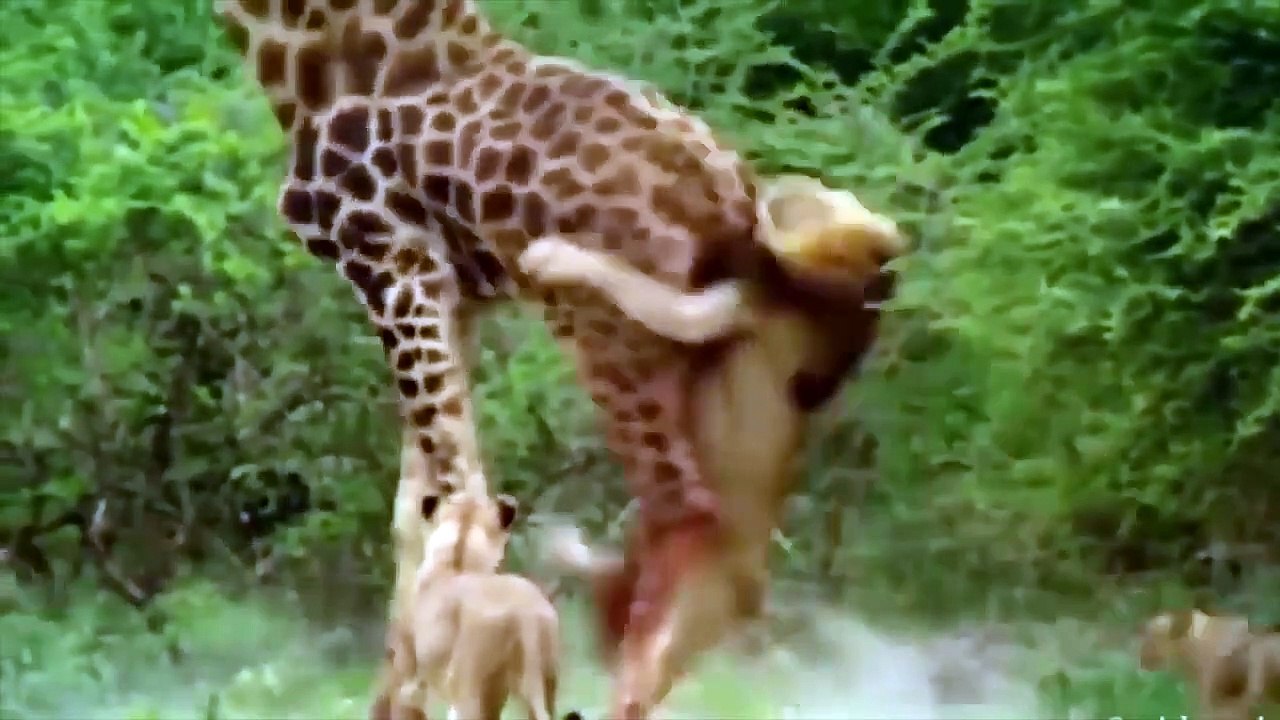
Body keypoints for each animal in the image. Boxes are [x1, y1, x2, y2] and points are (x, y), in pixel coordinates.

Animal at [518, 174, 905, 714]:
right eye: (834, 197)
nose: (784, 184)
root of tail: (751, 598)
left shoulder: (714, 309)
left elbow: (624, 278)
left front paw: (554, 255)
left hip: (681, 614)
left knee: (635, 689)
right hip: (637, 587)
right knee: (605, 600)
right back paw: (563, 549)